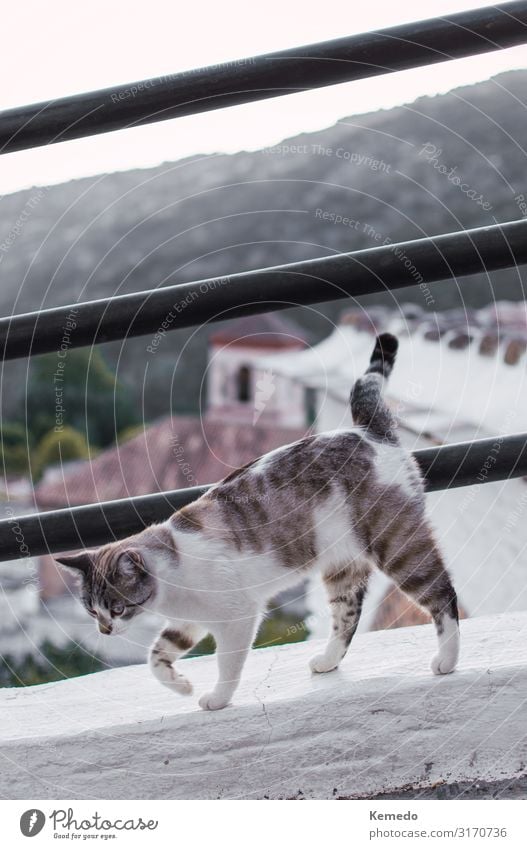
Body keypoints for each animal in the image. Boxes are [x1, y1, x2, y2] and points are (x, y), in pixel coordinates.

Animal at [57, 332, 460, 708]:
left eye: (117, 607)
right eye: (91, 609)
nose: (105, 630)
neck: (169, 585)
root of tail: (369, 432)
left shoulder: (238, 617)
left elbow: (227, 662)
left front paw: (218, 698)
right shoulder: (187, 622)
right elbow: (155, 658)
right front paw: (181, 685)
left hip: (396, 545)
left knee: (442, 592)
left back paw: (448, 659)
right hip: (342, 566)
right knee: (347, 617)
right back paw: (328, 661)